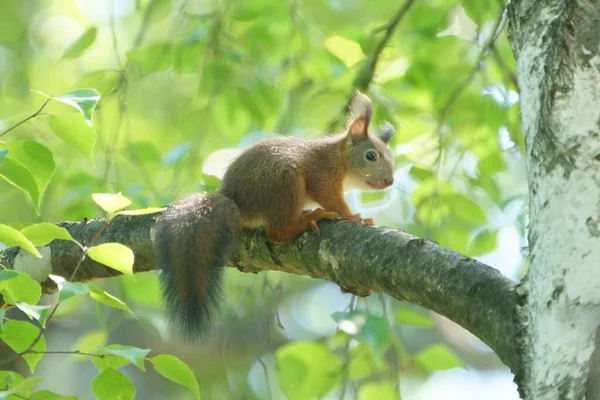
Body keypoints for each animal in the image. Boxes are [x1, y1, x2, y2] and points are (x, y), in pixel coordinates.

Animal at [157, 91, 396, 340]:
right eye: (371, 156)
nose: (390, 181)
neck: (338, 158)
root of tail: (235, 200)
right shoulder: (322, 173)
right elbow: (331, 199)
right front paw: (353, 217)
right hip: (285, 180)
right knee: (277, 231)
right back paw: (309, 218)